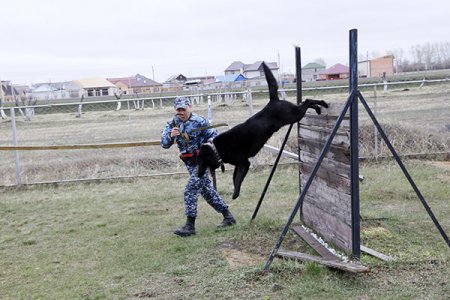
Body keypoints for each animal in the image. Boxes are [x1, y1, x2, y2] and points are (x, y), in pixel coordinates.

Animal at [197, 62, 326, 199]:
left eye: (201, 161)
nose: (198, 175)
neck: (217, 149)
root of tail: (273, 101)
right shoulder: (239, 165)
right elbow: (234, 177)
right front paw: (235, 192)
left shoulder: (244, 163)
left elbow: (237, 179)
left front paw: (235, 194)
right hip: (295, 114)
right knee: (305, 103)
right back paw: (318, 108)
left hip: (294, 115)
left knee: (307, 101)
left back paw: (323, 104)